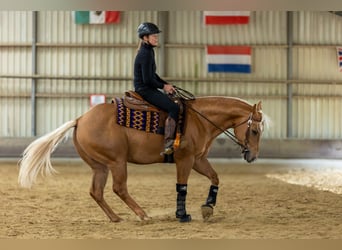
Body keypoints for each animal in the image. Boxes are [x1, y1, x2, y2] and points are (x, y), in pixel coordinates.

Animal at [18, 94, 268, 223]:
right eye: (255, 131)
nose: (253, 156)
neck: (200, 119)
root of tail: (80, 119)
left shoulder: (198, 160)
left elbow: (215, 178)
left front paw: (208, 208)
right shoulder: (185, 160)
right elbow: (182, 187)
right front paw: (182, 215)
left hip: (100, 166)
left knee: (96, 192)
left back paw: (116, 218)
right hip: (117, 162)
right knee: (119, 188)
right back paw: (142, 215)